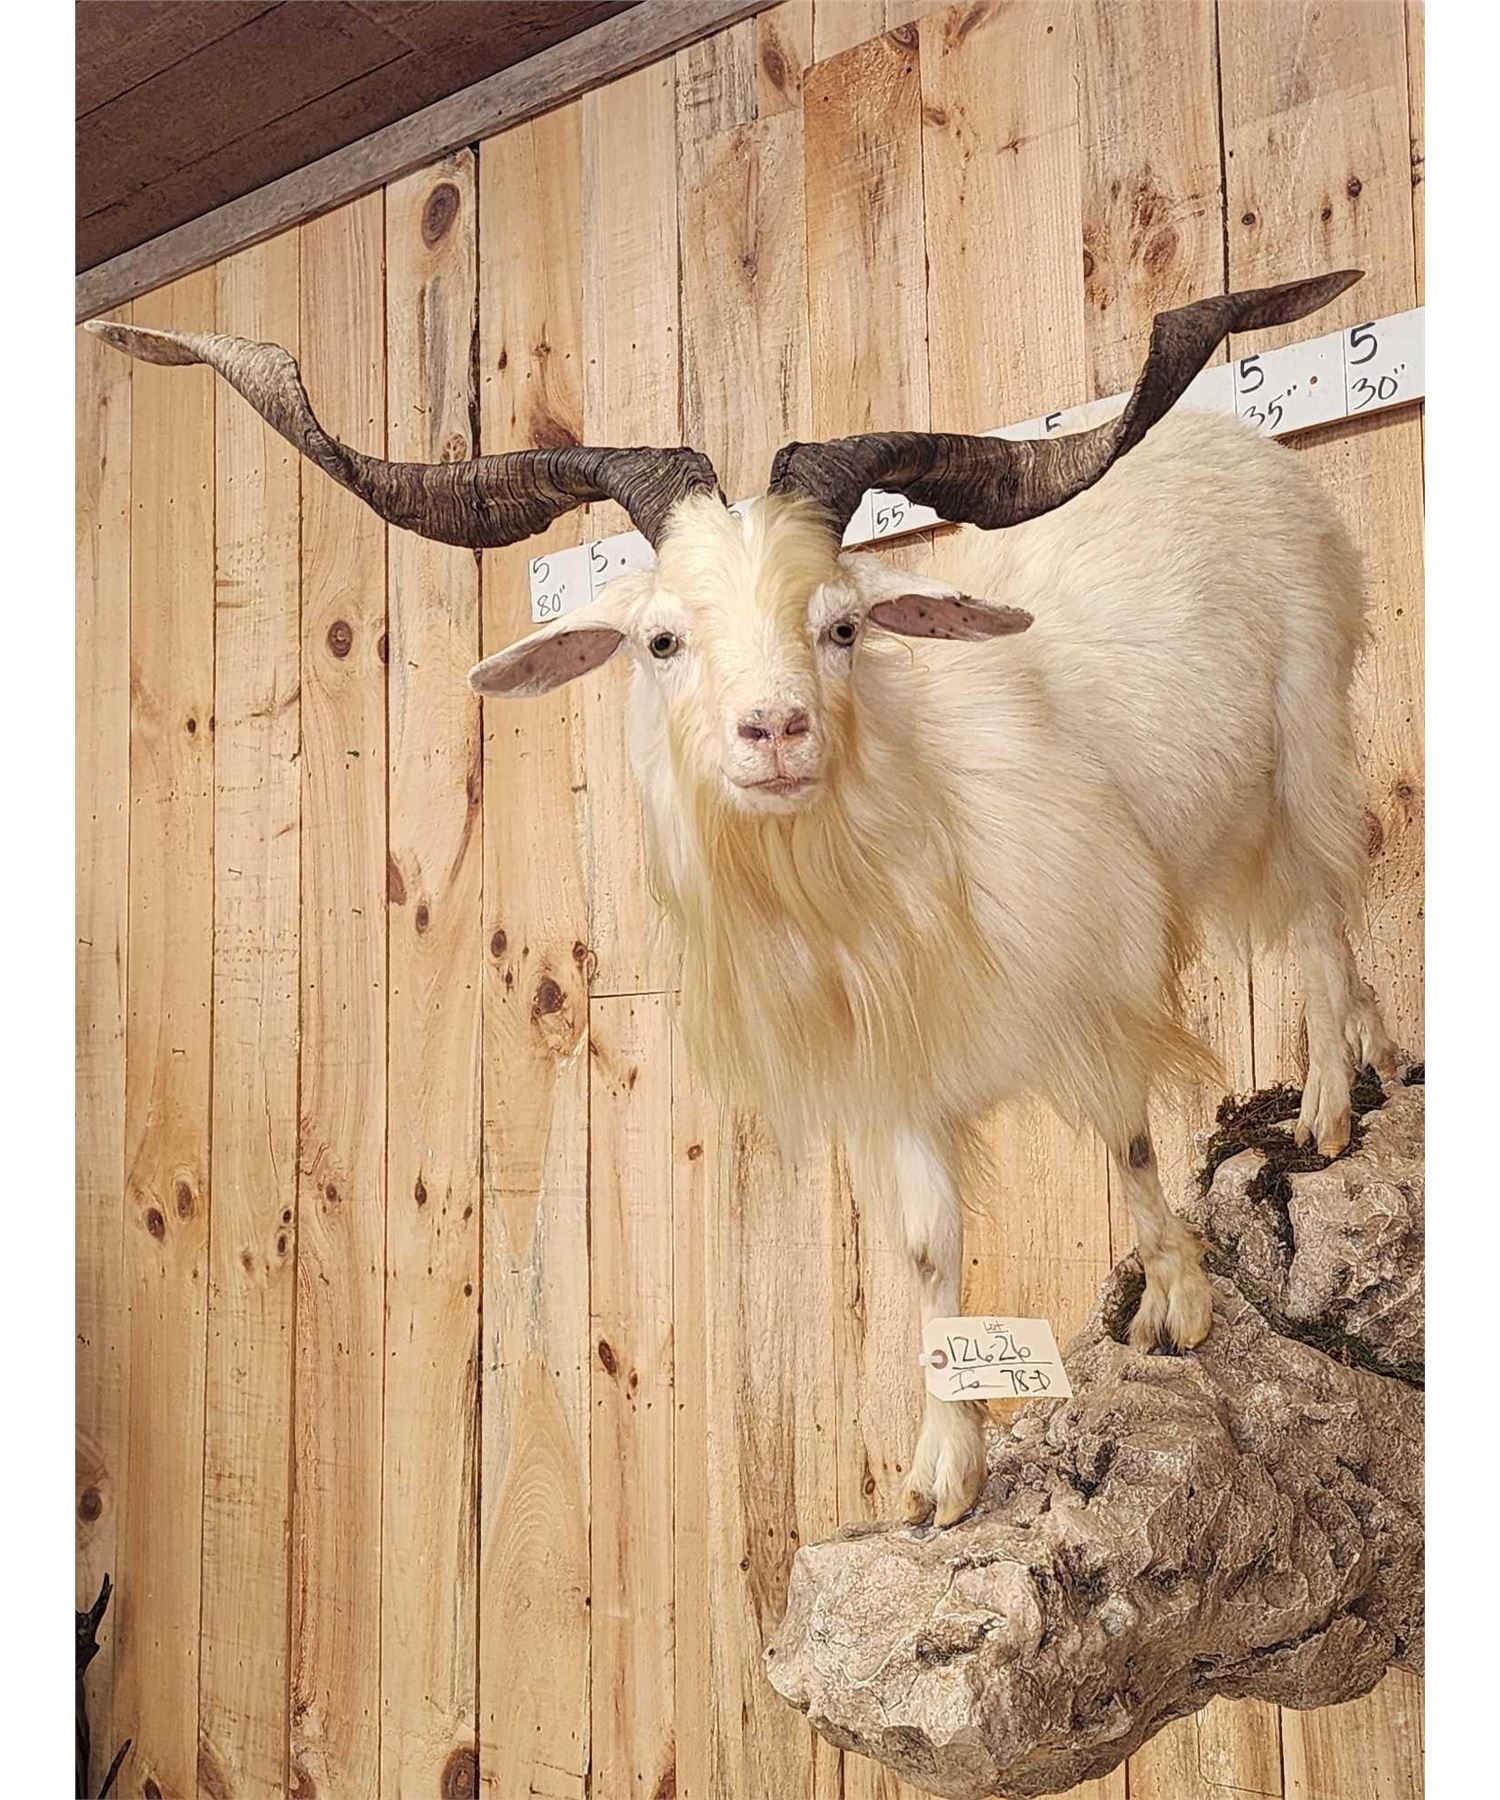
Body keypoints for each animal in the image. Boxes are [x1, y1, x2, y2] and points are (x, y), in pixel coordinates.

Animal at [88, 268, 1394, 1527]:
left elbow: (1125, 1141)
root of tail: (1228, 440)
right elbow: (928, 1254)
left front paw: (1175, 1306)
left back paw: (1328, 1108)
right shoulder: (894, 1083)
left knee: (1326, 910)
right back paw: (1378, 1060)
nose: (774, 730)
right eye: (662, 639)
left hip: (1301, 742)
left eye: (844, 625)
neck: (906, 838)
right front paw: (940, 1478)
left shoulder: (1094, 981)